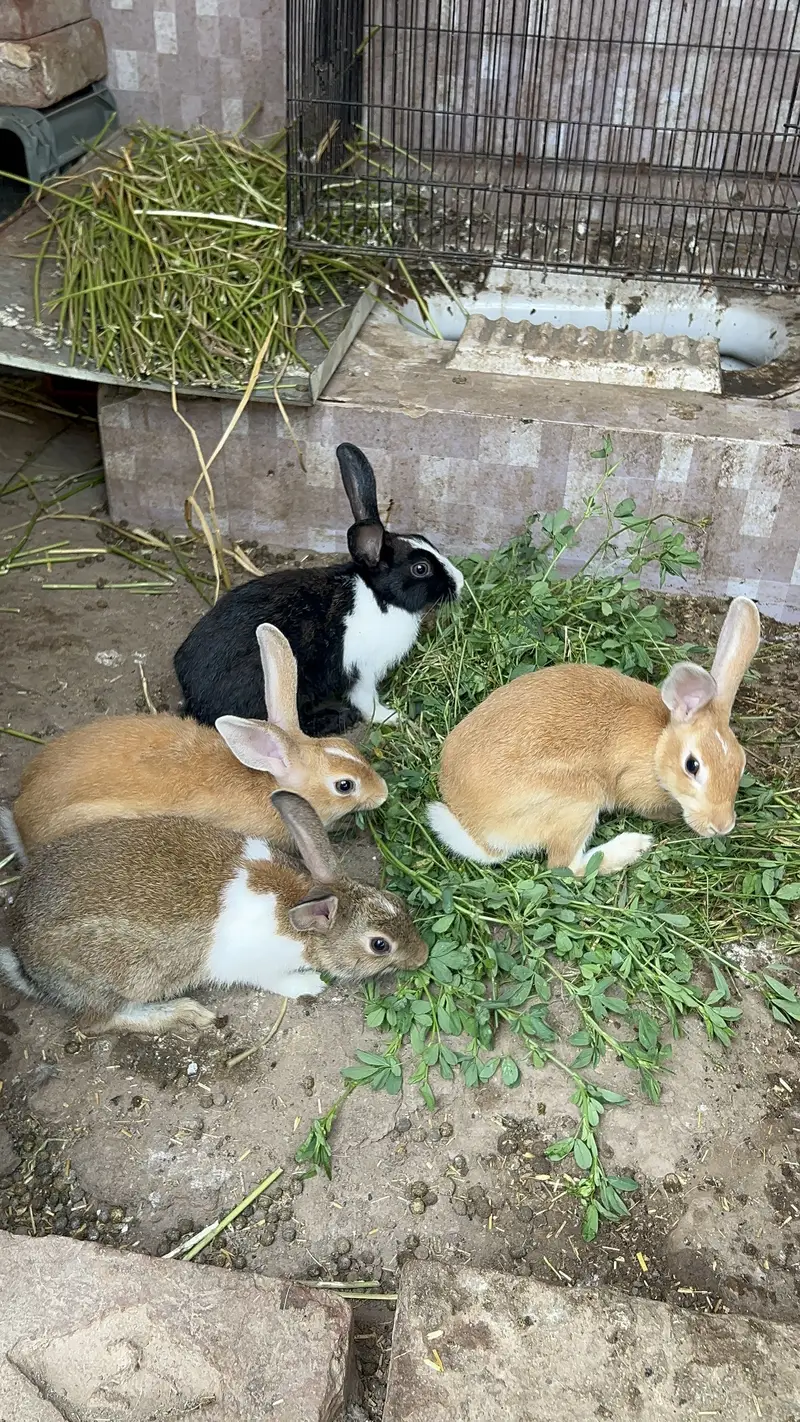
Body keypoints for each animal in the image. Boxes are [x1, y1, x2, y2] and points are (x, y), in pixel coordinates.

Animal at [0, 790, 429, 1035]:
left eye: (396, 899)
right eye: (379, 945)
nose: (422, 955)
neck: (299, 913)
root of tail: (22, 955)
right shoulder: (252, 964)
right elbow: (276, 981)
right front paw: (310, 985)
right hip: (123, 978)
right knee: (95, 1024)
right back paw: (186, 1013)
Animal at [173, 442, 464, 737]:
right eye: (421, 568)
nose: (460, 582)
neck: (378, 596)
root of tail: (194, 697)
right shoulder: (362, 671)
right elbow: (365, 700)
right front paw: (393, 717)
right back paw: (338, 719)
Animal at [427, 596, 760, 877]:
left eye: (742, 764)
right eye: (692, 766)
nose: (722, 826)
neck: (659, 746)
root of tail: (477, 831)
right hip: (578, 802)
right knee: (565, 867)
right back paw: (633, 846)